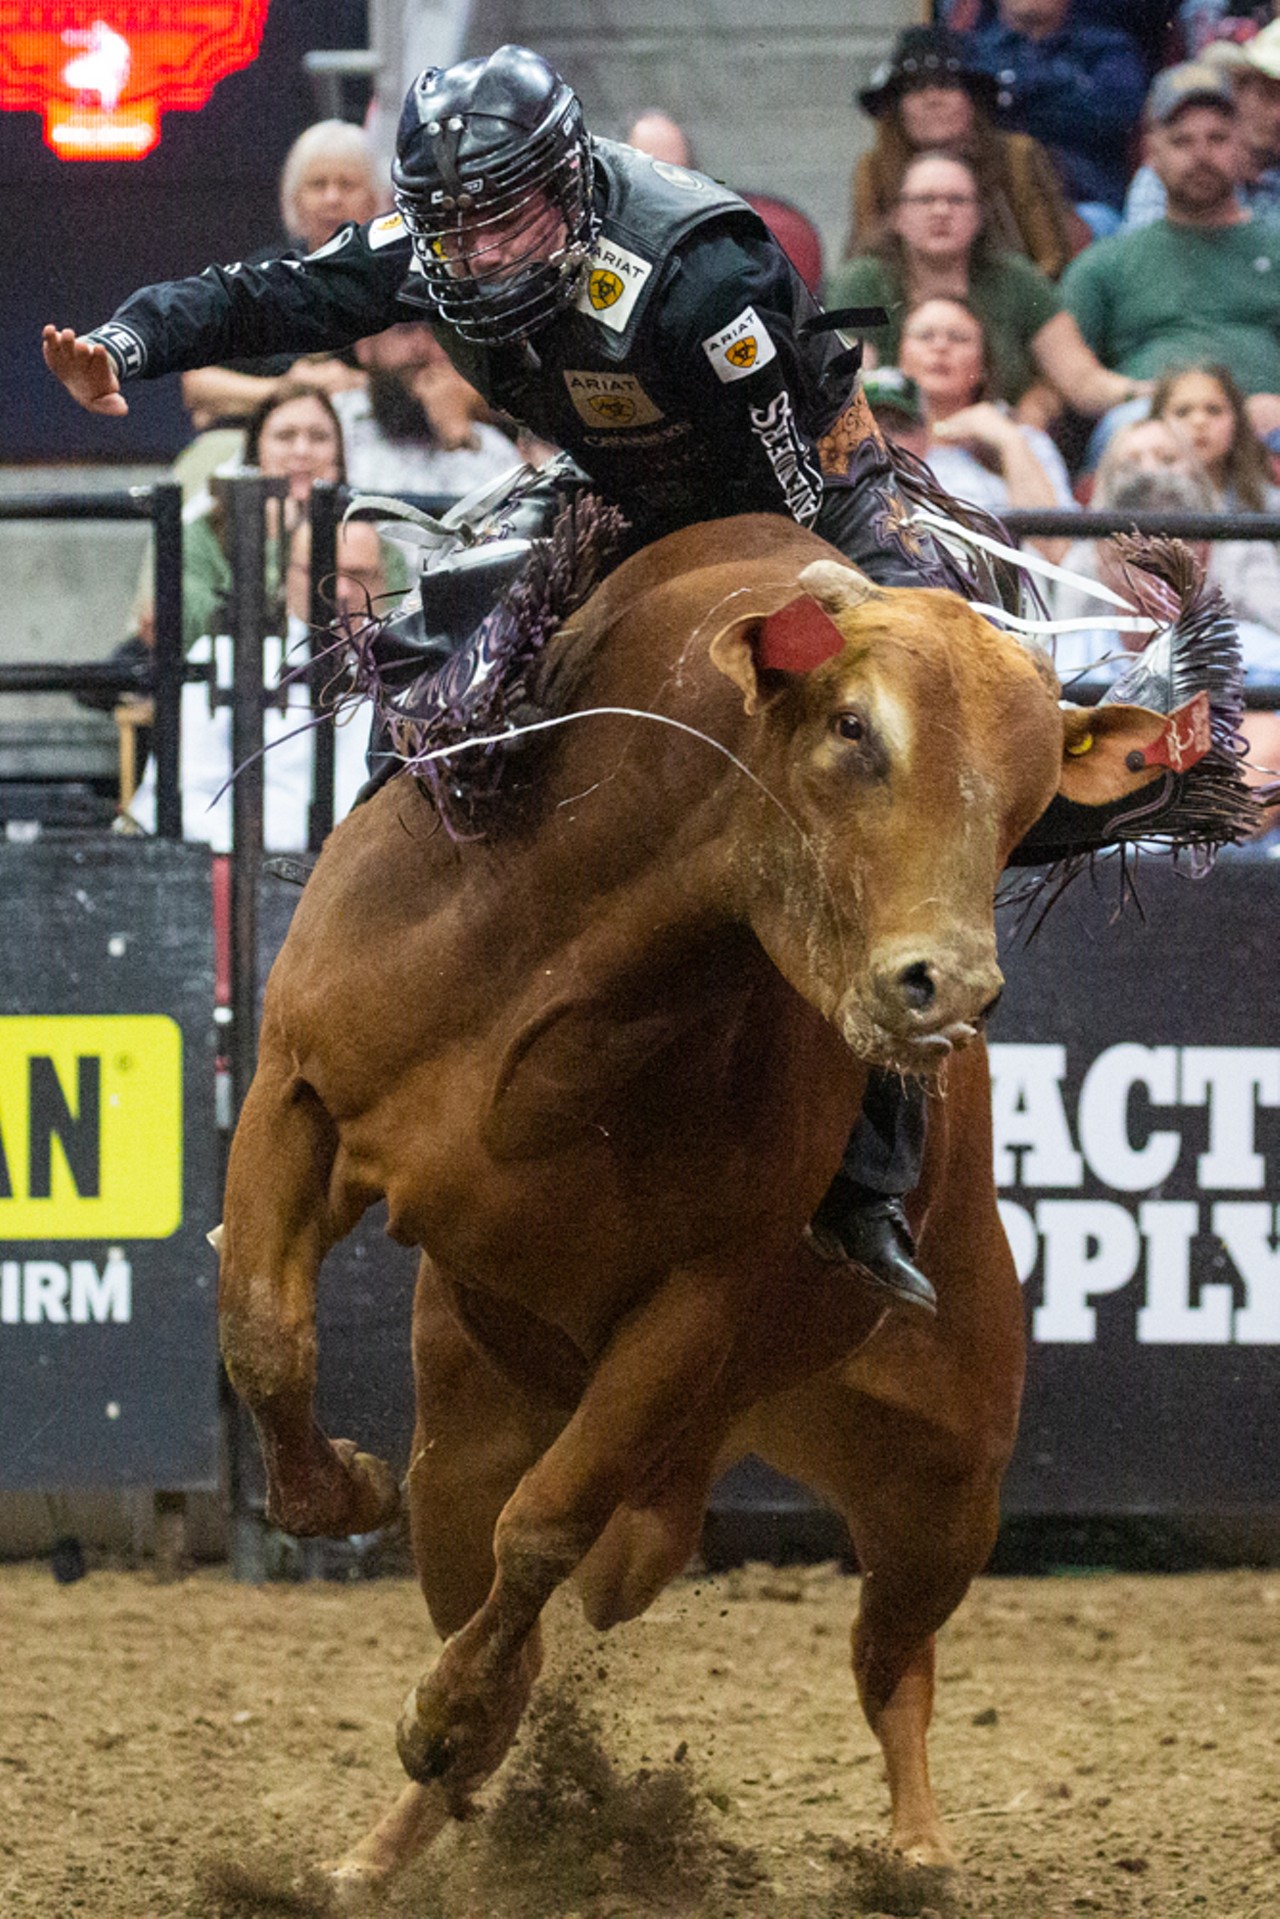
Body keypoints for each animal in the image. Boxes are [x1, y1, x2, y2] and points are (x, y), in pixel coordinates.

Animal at [217, 518, 1189, 1895]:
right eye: (852, 727)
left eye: (1025, 791)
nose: (946, 988)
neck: (561, 951)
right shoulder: (293, 1091)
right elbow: (264, 1333)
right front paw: (336, 1497)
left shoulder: (701, 1299)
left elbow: (549, 1523)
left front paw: (444, 1708)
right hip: (465, 1436)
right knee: (491, 1591)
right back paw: (376, 1851)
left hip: (942, 1480)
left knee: (891, 1663)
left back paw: (912, 1852)